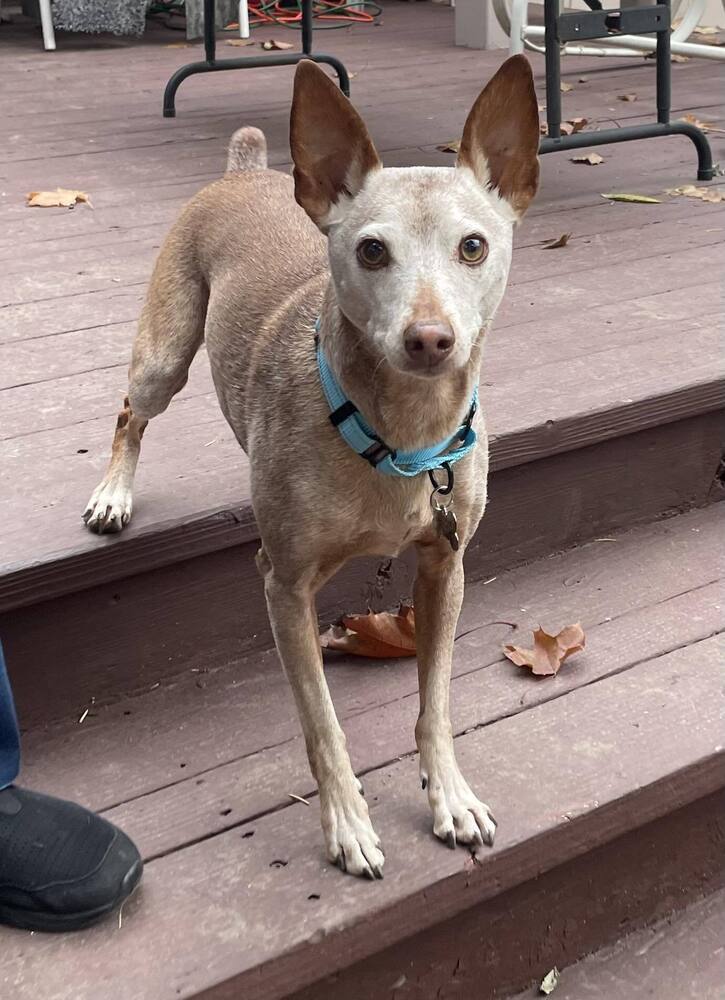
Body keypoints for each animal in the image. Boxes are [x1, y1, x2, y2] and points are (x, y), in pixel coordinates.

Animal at [83, 58, 536, 880]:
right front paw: (348, 824)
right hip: (164, 356)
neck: (401, 436)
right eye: (371, 251)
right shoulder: (285, 586)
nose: (430, 338)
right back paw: (112, 496)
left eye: (474, 246)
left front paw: (449, 795)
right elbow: (323, 724)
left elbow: (436, 702)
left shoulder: (445, 569)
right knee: (130, 412)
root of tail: (245, 171)